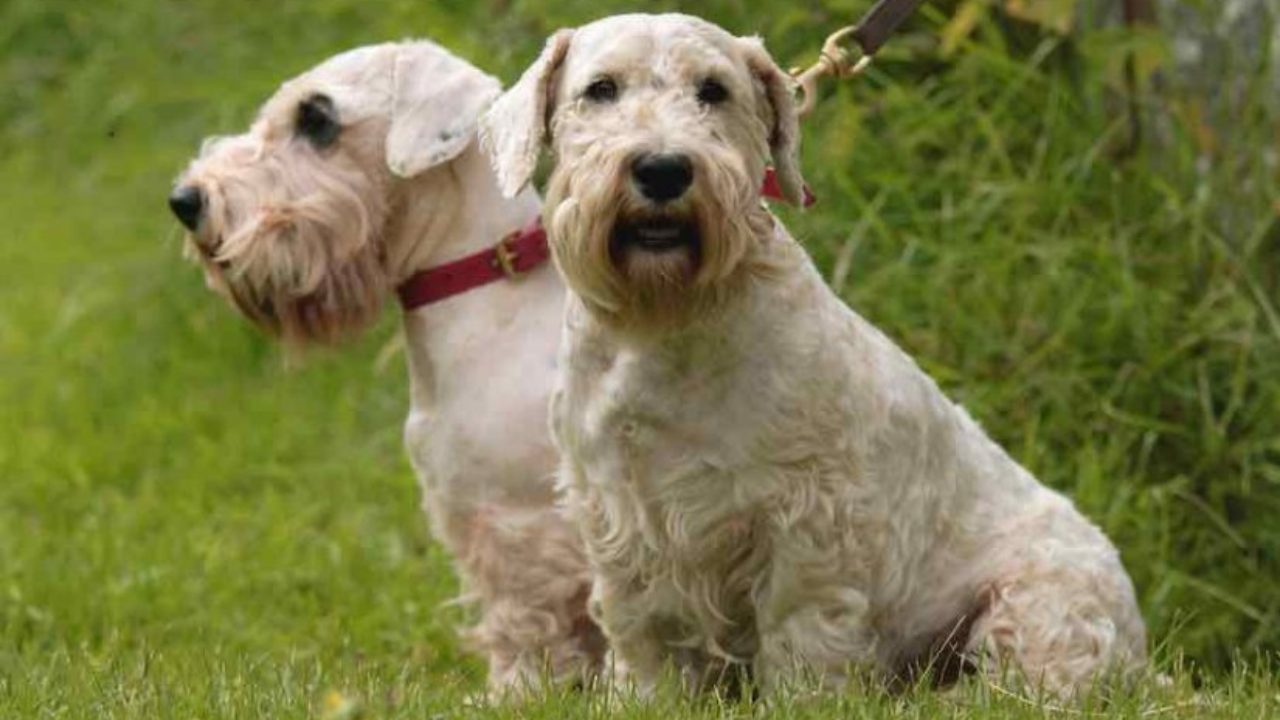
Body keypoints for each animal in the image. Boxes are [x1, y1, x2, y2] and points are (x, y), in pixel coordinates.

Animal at [170, 39, 604, 691]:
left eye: (317, 118)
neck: (488, 287)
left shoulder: (514, 522)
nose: (186, 200)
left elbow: (524, 621)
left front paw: (518, 691)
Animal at [481, 11, 1152, 696]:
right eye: (601, 89)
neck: (666, 324)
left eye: (714, 90)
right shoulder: (617, 509)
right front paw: (646, 694)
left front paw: (804, 695)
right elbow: (641, 627)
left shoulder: (806, 515)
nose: (664, 169)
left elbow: (800, 623)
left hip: (1036, 604)